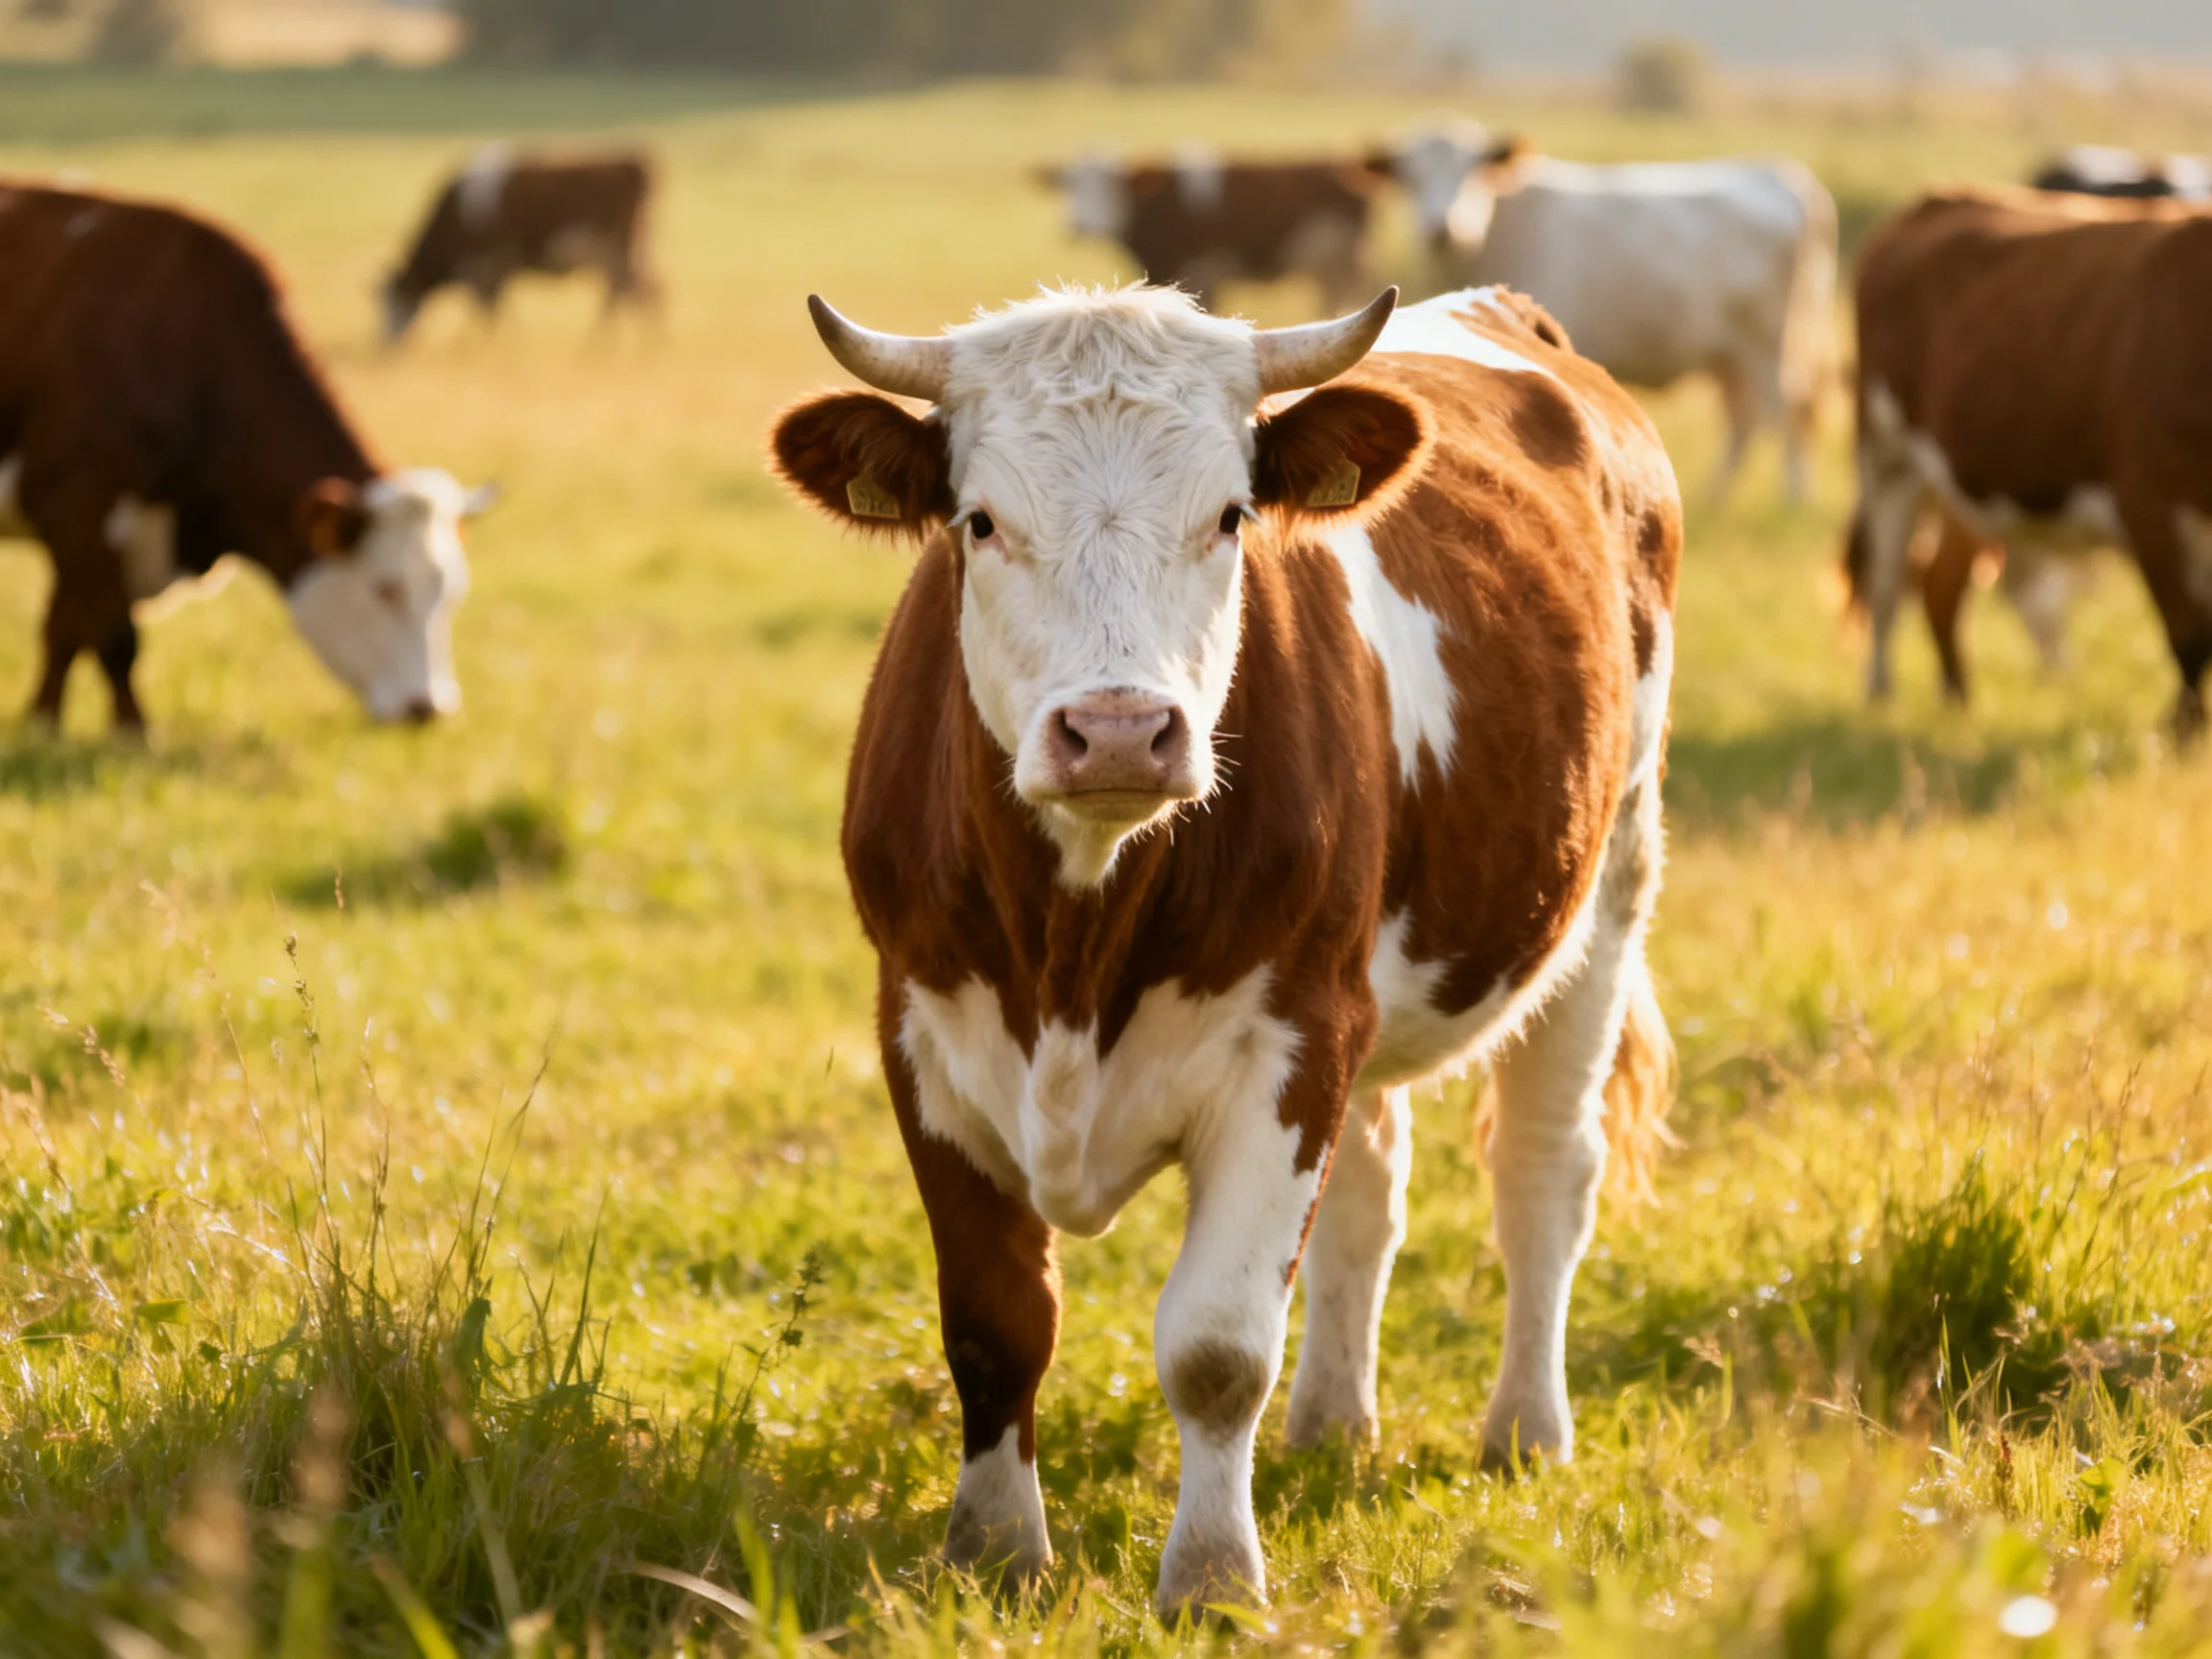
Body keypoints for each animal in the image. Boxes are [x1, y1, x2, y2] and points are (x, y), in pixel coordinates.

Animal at [0, 183, 495, 731]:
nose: (427, 707)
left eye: (452, 591)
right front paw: (131, 731)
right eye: (386, 589)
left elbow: (64, 630)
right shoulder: (77, 510)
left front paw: (43, 722)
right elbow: (111, 637)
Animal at [380, 146, 658, 345]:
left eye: (393, 301)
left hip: (614, 251)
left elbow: (489, 310)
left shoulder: (484, 267)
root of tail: (639, 163)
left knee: (630, 293)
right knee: (645, 290)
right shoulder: (496, 271)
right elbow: (500, 309)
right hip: (629, 253)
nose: (384, 347)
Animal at [767, 282, 1681, 1614]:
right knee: (1371, 1190)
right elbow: (994, 1322)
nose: (1116, 731)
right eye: (979, 522)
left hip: (1607, 884)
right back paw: (1331, 1424)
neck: (1074, 943)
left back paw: (1524, 1431)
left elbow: (1216, 1346)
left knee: (1543, 1176)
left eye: (1230, 515)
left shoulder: (1290, 1045)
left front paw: (1210, 1578)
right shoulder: (922, 1036)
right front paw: (995, 1554)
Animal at [1379, 123, 1837, 505]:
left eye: (1471, 172)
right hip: (1730, 356)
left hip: (1768, 343)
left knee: (1787, 408)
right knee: (1746, 419)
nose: (1442, 229)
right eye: (1412, 179)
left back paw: (1794, 498)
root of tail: (1784, 177)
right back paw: (1713, 498)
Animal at [1845, 186, 2212, 736]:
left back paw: (1957, 700)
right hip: (1887, 456)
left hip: (1959, 480)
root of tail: (1938, 198)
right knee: (1886, 582)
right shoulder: (2148, 504)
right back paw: (1879, 694)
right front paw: (2181, 732)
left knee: (1940, 584)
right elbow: (2189, 633)